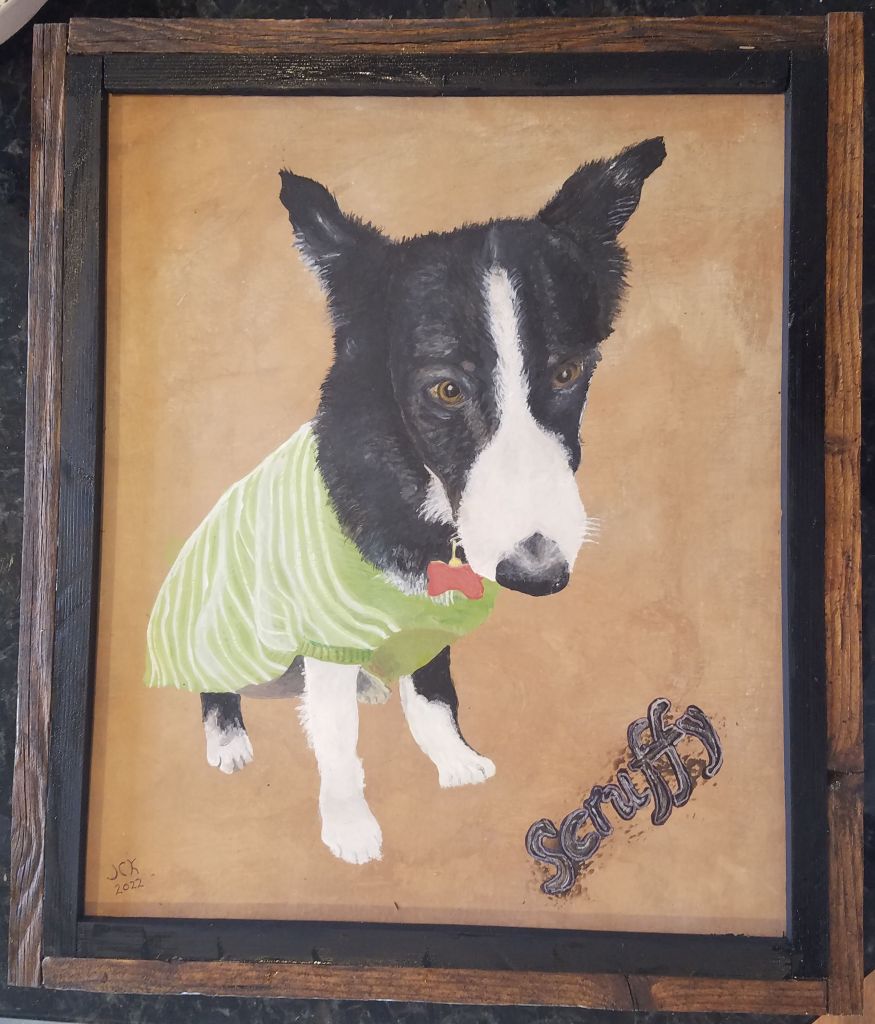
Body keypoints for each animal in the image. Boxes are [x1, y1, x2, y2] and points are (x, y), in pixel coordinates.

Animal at [145, 137, 665, 865]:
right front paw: (348, 826)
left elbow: (434, 697)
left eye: (567, 373)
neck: (419, 494)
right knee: (216, 681)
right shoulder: (324, 628)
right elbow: (337, 743)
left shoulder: (428, 620)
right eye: (445, 389)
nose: (540, 576)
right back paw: (227, 739)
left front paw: (454, 761)